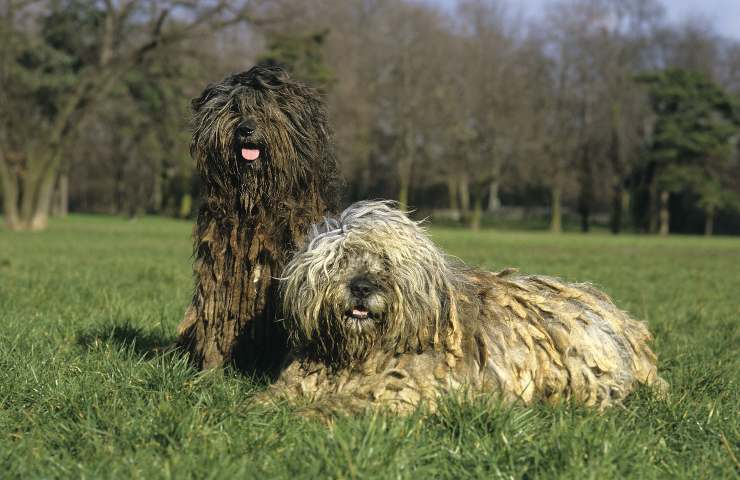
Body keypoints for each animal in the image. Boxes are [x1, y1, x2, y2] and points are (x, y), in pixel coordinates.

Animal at [176, 62, 342, 376]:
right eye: (233, 109)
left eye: (266, 109)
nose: (246, 129)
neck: (257, 205)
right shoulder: (222, 266)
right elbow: (217, 315)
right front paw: (210, 371)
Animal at [264, 201, 668, 414]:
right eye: (341, 260)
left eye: (386, 262)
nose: (361, 287)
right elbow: (276, 395)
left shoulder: (404, 388)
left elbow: (350, 404)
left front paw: (314, 413)